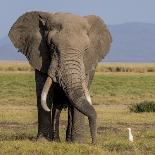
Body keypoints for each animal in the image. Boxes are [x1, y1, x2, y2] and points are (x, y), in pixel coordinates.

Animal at [8, 11, 111, 144]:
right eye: (52, 47)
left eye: (86, 50)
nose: (93, 142)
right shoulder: (39, 58)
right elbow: (43, 93)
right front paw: (43, 141)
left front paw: (78, 143)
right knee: (56, 107)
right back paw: (56, 139)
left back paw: (68, 140)